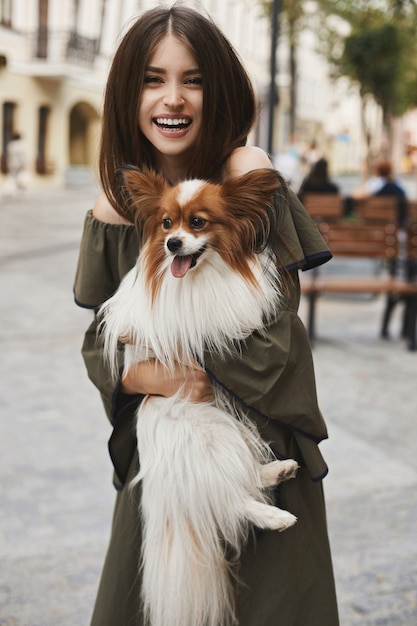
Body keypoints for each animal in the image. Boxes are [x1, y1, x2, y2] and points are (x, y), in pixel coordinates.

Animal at [99, 166, 298, 624]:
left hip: (228, 432)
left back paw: (279, 471)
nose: (172, 244)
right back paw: (274, 516)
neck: (201, 275)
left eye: (198, 223)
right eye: (166, 224)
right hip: (207, 434)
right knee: (225, 498)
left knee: (239, 478)